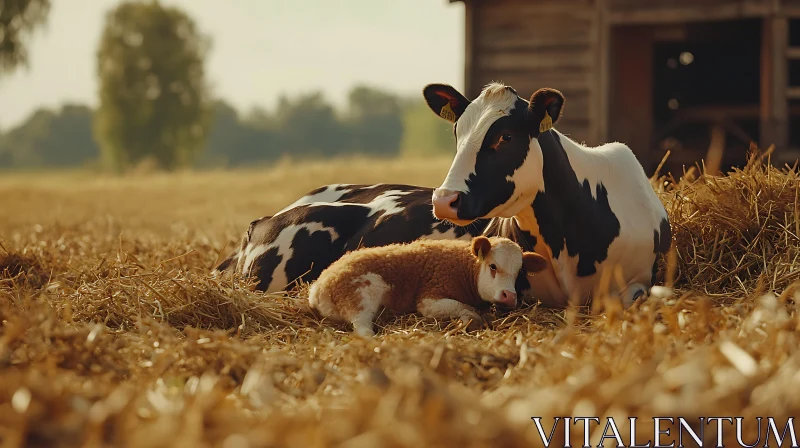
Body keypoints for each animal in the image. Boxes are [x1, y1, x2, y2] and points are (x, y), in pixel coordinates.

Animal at [308, 236, 552, 338]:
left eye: (519, 274)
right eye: (493, 266)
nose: (509, 296)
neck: (466, 269)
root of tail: (319, 287)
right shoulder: (430, 299)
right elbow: (468, 311)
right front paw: (468, 321)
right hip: (359, 299)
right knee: (362, 330)